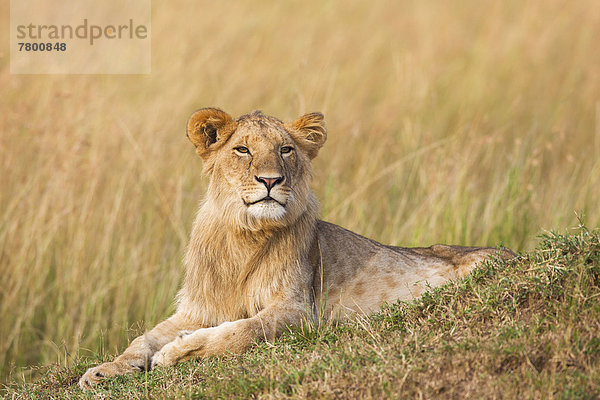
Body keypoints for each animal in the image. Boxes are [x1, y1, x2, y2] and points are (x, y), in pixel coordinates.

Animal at [78, 108, 510, 388]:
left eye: (285, 150)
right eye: (242, 150)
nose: (271, 180)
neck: (245, 235)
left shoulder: (300, 311)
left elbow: (241, 331)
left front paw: (175, 352)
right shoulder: (199, 308)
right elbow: (142, 339)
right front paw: (104, 370)